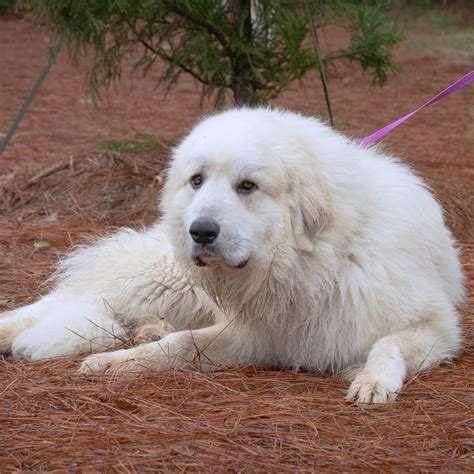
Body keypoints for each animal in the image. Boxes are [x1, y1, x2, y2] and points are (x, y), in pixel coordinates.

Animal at [0, 109, 462, 402]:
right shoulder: (252, 332)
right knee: (57, 302)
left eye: (247, 186)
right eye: (197, 180)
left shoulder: (436, 327)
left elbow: (388, 344)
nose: (201, 231)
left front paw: (372, 380)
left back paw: (146, 329)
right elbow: (179, 344)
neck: (320, 263)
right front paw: (117, 362)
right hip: (160, 280)